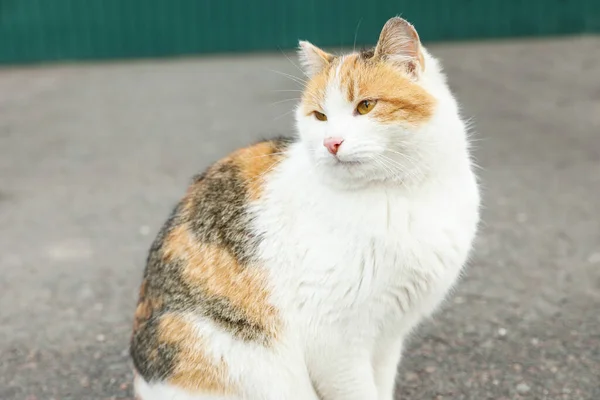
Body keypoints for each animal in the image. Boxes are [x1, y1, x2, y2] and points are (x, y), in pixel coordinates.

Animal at [130, 16, 478, 400]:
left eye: (366, 106)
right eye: (320, 116)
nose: (331, 142)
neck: (400, 193)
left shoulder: (389, 336)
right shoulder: (333, 339)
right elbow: (359, 391)